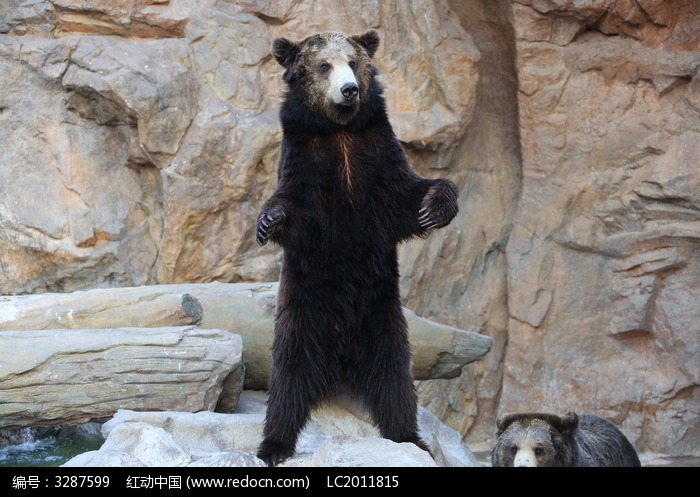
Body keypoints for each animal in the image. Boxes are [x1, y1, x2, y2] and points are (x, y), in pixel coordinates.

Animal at [256, 30, 460, 464]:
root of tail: (341, 360)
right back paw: (274, 445)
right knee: (287, 381)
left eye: (353, 61)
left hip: (383, 318)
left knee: (394, 381)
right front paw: (268, 220)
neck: (339, 131)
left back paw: (409, 437)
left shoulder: (377, 155)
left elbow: (408, 197)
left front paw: (436, 206)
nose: (349, 89)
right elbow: (297, 214)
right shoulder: (306, 159)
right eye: (323, 65)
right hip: (302, 315)